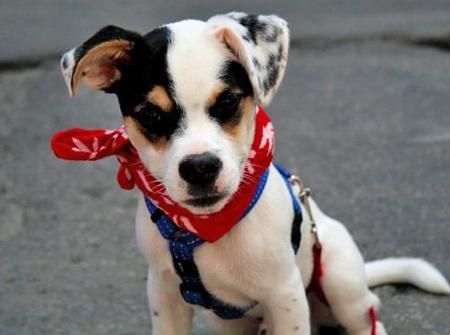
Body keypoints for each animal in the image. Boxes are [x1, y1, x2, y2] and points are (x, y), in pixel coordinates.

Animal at [60, 12, 450, 335]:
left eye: (229, 102)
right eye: (151, 115)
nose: (200, 167)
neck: (207, 229)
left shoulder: (285, 294)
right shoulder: (163, 290)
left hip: (341, 282)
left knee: (368, 319)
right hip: (228, 323)